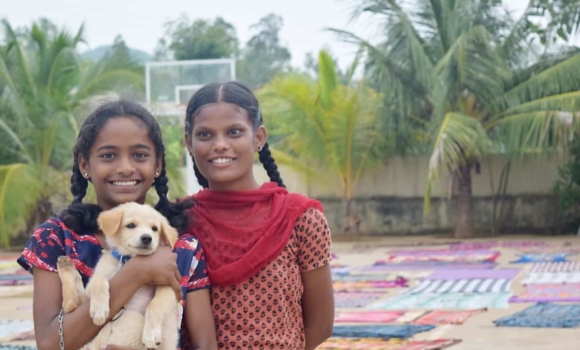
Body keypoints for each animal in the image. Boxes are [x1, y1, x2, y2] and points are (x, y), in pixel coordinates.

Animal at [57, 202, 179, 350]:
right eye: (131, 225)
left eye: (154, 228)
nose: (147, 238)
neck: (129, 258)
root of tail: (94, 347)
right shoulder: (98, 276)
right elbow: (99, 281)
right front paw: (99, 309)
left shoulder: (170, 286)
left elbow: (155, 304)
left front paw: (151, 334)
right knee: (71, 304)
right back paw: (66, 266)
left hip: (133, 320)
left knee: (71, 304)